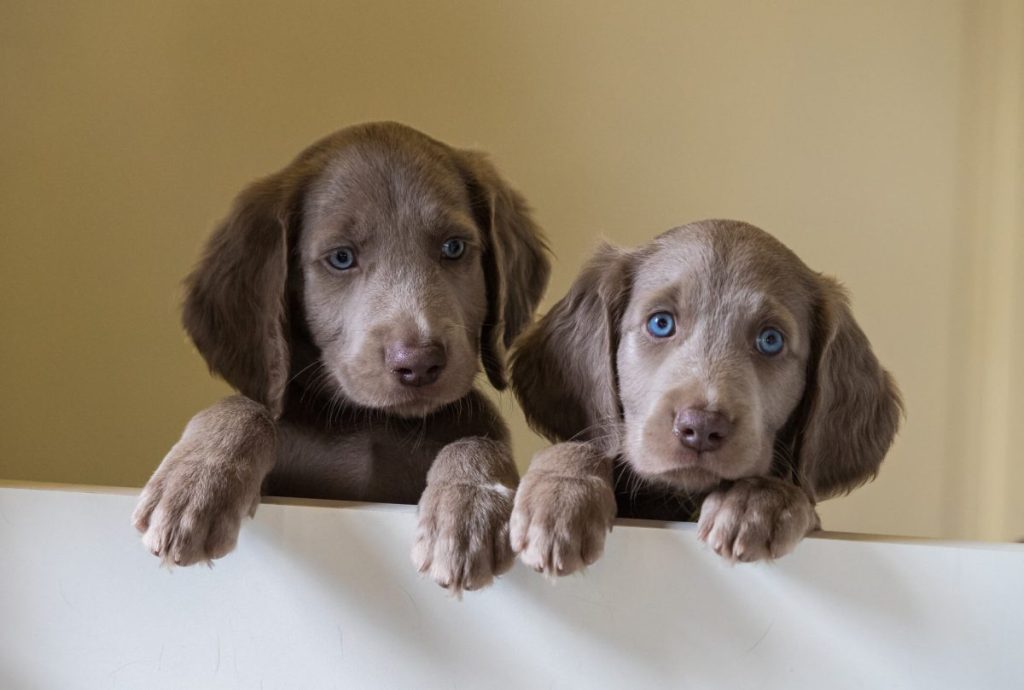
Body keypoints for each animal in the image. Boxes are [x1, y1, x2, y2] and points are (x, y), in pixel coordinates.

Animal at [136, 122, 557, 589]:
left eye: (453, 248)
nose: (419, 362)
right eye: (341, 258)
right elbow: (245, 406)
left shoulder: (479, 426)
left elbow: (479, 441)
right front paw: (195, 482)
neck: (369, 423)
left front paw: (466, 508)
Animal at [507, 218, 901, 573]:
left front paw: (758, 498)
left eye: (770, 340)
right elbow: (581, 444)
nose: (701, 427)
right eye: (660, 323)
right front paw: (560, 496)